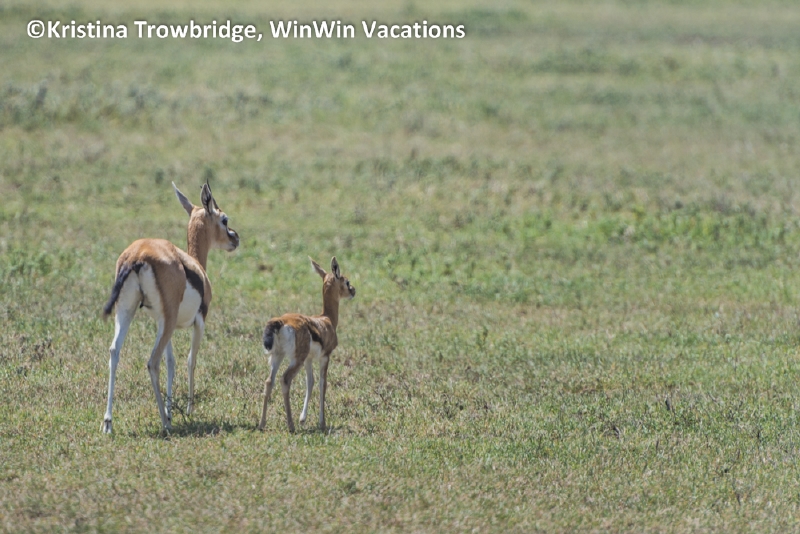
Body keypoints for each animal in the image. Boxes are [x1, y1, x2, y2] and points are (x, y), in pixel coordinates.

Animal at [101, 182, 240, 435]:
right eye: (224, 219)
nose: (235, 238)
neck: (195, 267)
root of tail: (137, 255)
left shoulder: (163, 322)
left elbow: (171, 363)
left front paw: (170, 410)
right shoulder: (198, 322)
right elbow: (190, 360)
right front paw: (187, 410)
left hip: (127, 311)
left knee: (115, 351)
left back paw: (108, 423)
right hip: (163, 319)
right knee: (152, 362)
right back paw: (165, 425)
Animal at [259, 257, 356, 433]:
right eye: (346, 281)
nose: (353, 290)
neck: (326, 319)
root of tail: (281, 321)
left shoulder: (309, 359)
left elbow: (309, 383)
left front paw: (303, 418)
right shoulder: (325, 357)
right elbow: (322, 384)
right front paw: (322, 422)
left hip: (278, 356)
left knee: (269, 381)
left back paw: (262, 424)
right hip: (295, 360)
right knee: (285, 379)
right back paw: (290, 426)